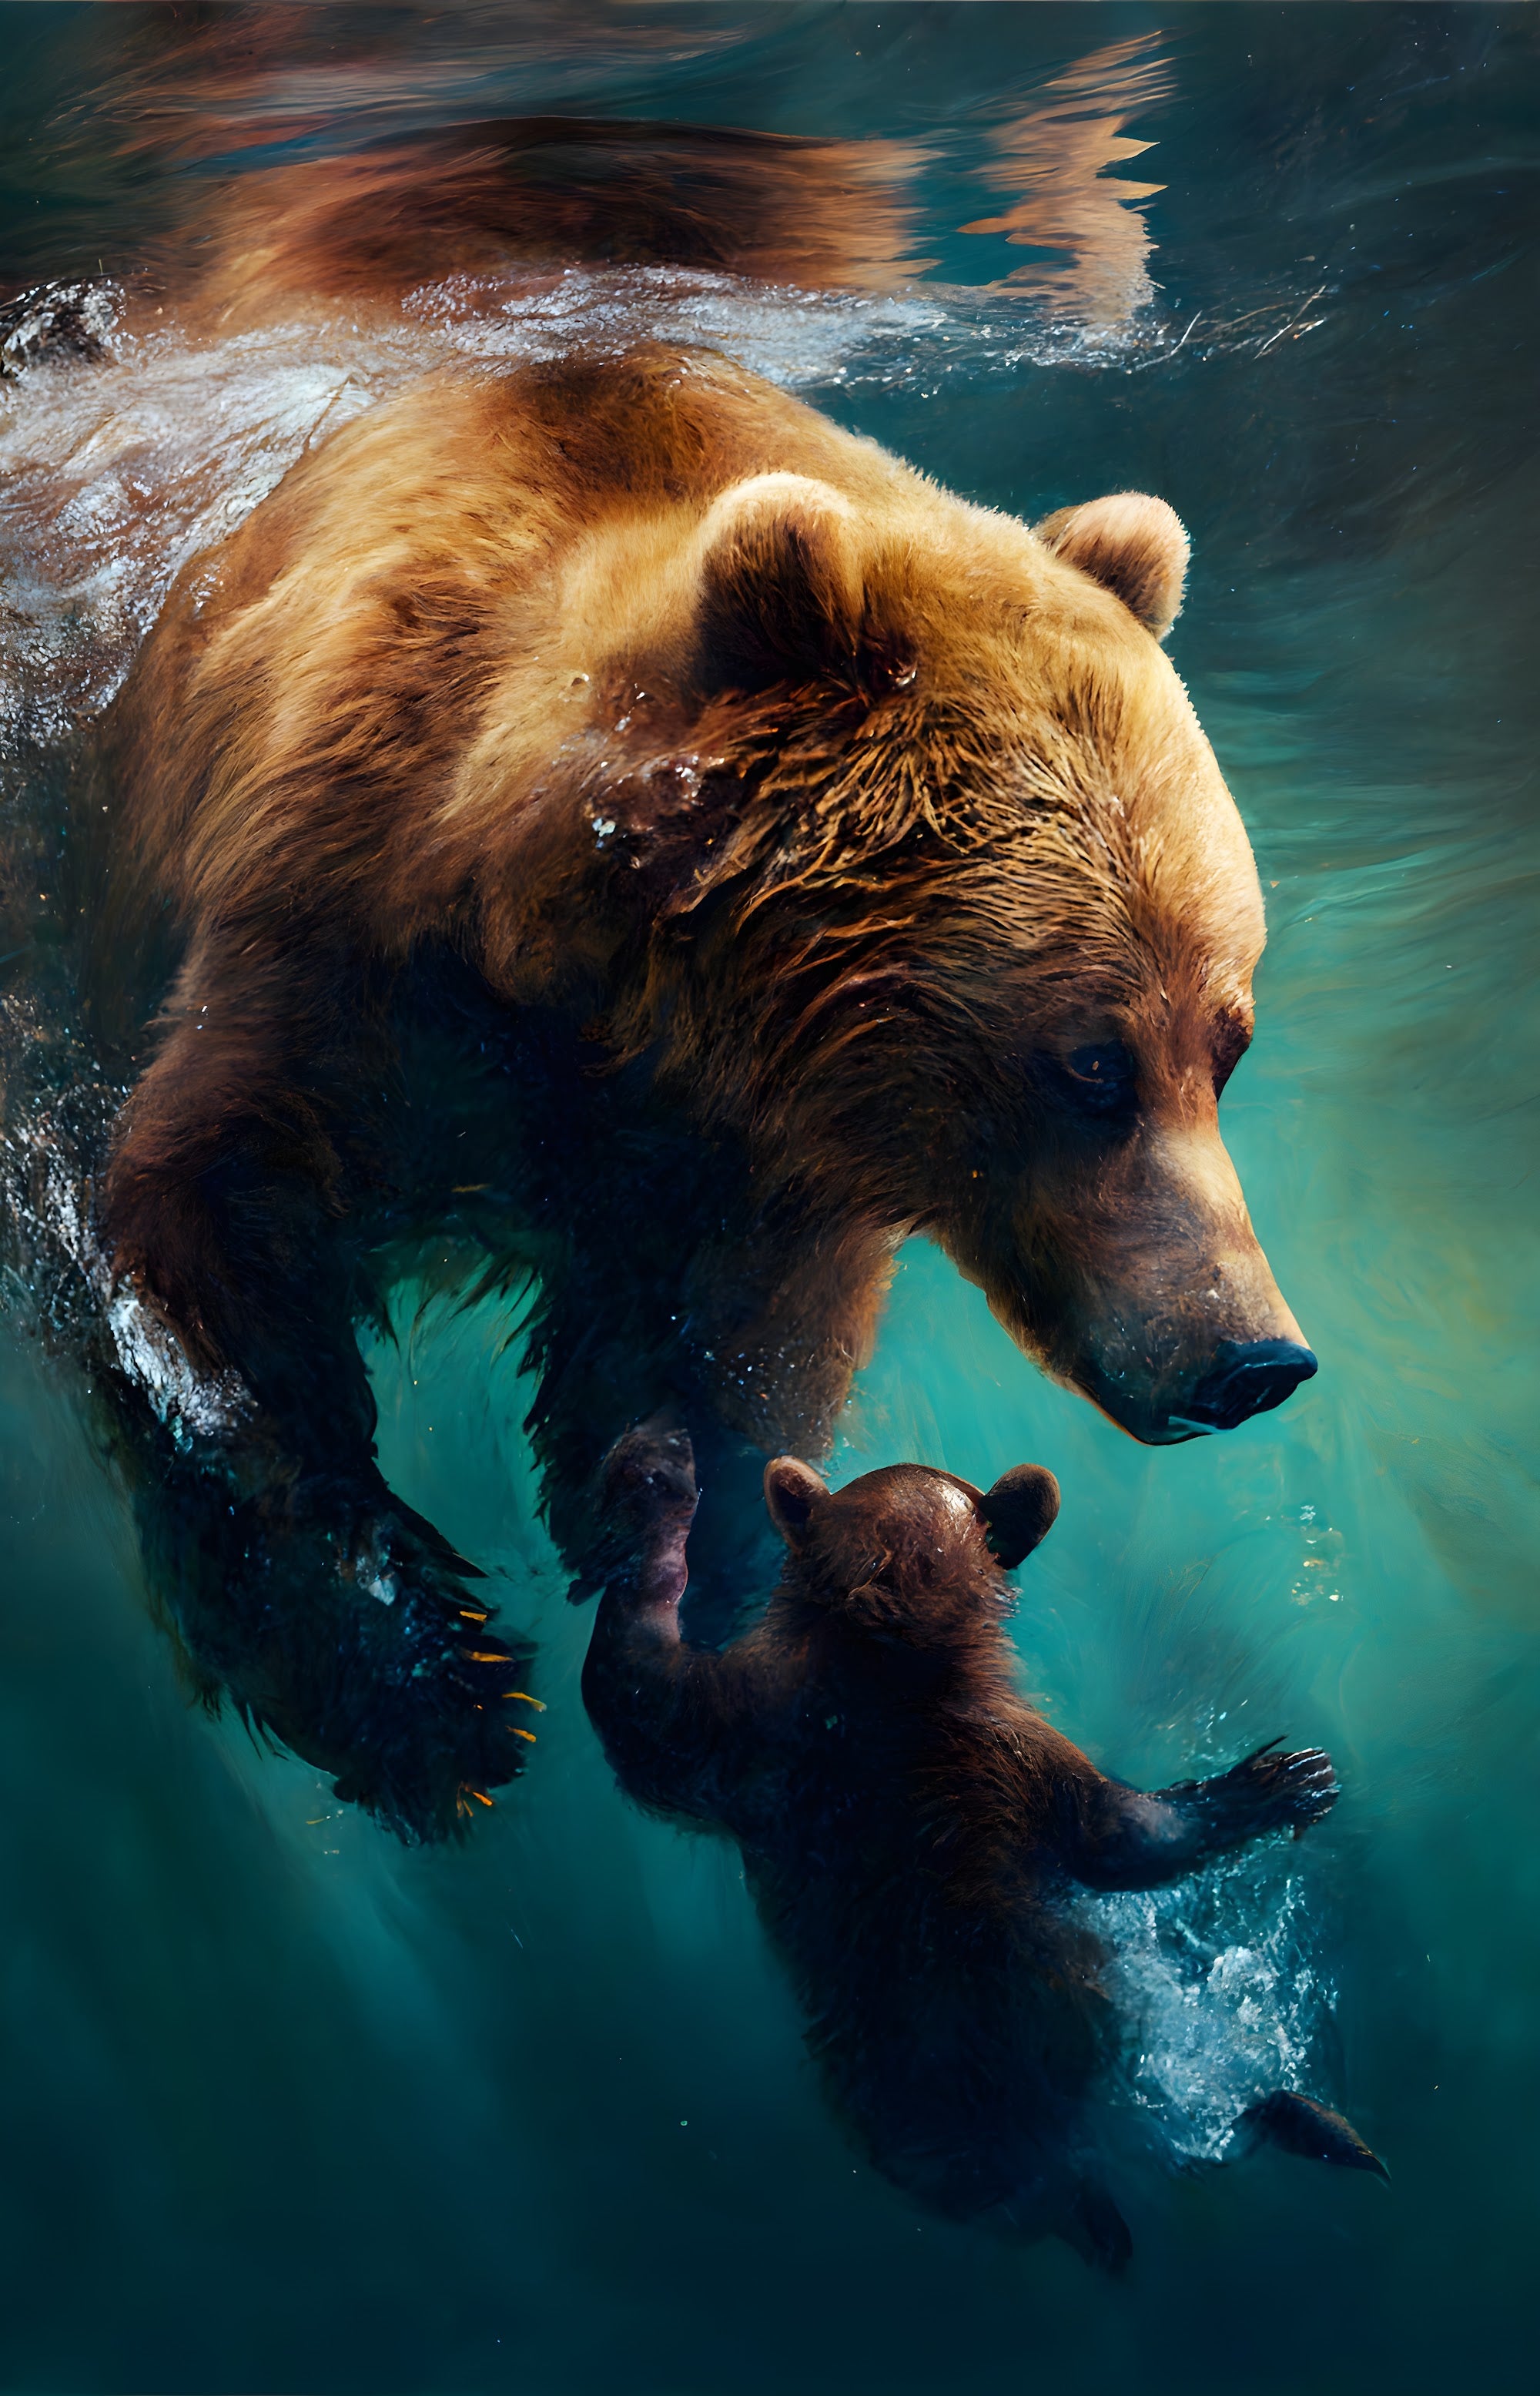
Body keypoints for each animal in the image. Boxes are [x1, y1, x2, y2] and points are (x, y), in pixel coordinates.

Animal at [88, 310, 1316, 1838]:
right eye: (1095, 1062)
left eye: (1229, 1043)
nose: (1255, 1356)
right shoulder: (349, 969)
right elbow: (209, 1265)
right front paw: (431, 1694)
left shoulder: (738, 1169)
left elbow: (730, 1365)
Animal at [582, 1424, 1386, 2266]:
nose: (659, 1476)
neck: (886, 1654)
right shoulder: (1010, 1752)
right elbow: (1120, 1837)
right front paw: (1285, 1780)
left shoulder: (755, 1734)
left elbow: (635, 1698)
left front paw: (653, 1491)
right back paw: (1280, 2131)